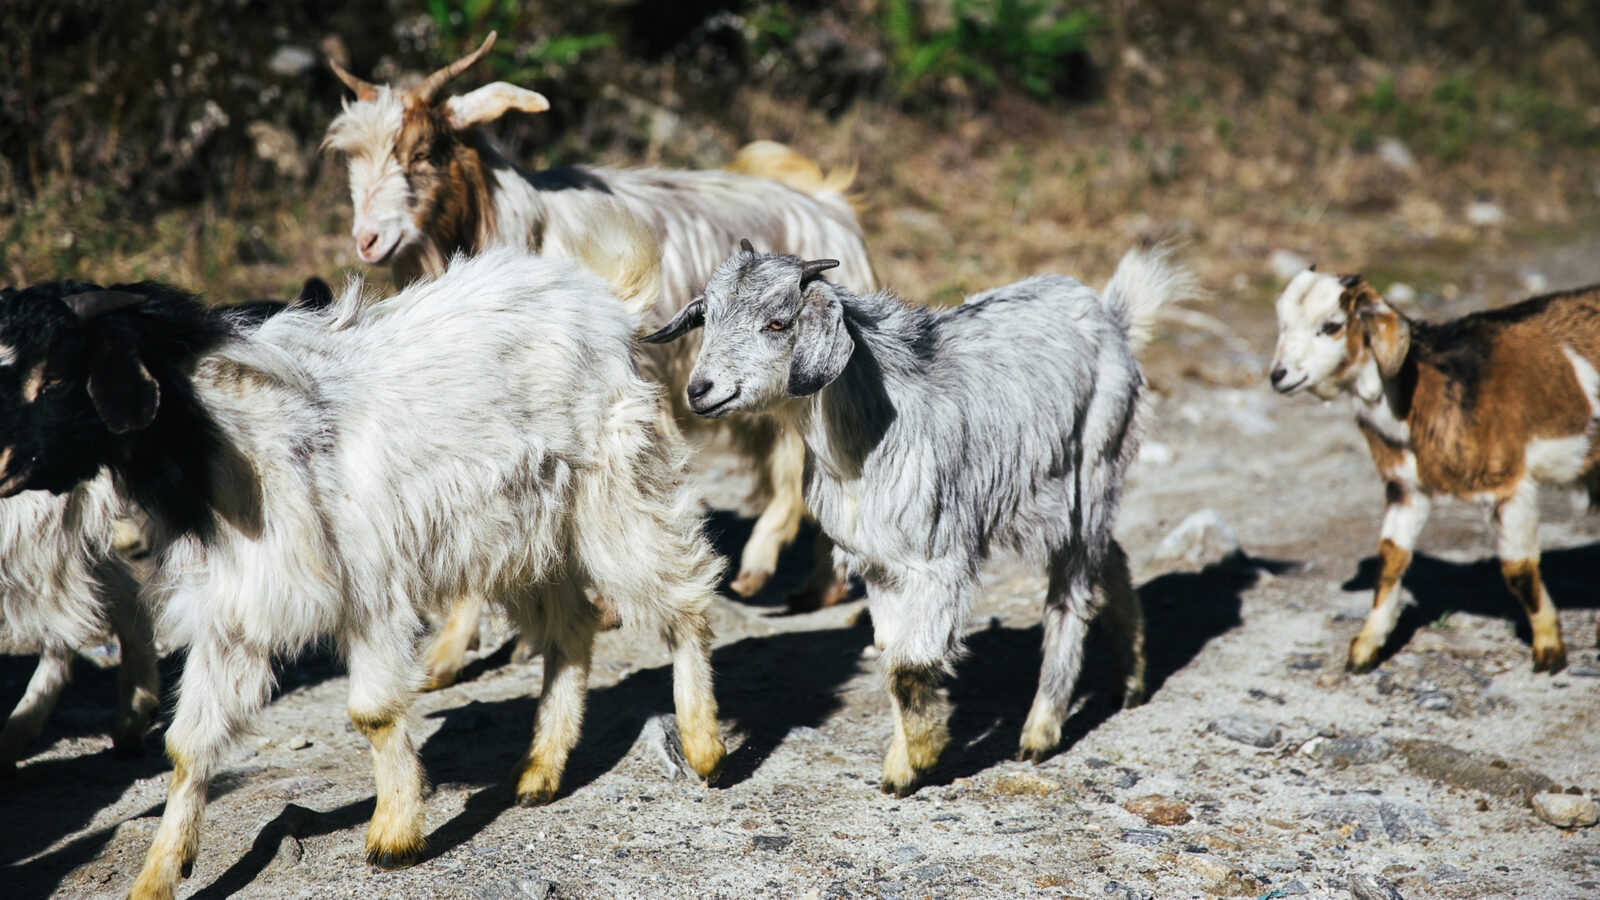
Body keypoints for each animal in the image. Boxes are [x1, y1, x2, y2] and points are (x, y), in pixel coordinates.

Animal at [0, 243, 726, 900]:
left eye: (56, 375)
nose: (3, 471)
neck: (238, 442)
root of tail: (602, 296)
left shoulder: (370, 586)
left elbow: (373, 713)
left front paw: (395, 835)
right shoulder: (235, 608)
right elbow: (187, 745)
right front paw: (156, 876)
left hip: (616, 493)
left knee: (684, 600)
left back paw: (703, 747)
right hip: (522, 537)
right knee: (571, 627)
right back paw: (540, 772)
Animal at [324, 34, 876, 686]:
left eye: (425, 151)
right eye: (352, 159)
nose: (368, 240)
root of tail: (828, 202)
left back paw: (763, 568)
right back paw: (818, 589)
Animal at [645, 241, 1191, 794]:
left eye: (778, 323)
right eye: (708, 317)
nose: (700, 390)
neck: (862, 443)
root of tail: (1112, 313)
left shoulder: (940, 559)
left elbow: (911, 666)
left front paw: (919, 759)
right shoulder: (879, 562)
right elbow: (891, 654)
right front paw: (902, 759)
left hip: (1089, 471)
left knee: (1072, 593)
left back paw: (1041, 732)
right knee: (1111, 557)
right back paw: (1131, 679)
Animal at [1271, 271, 1599, 673]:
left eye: (1331, 326)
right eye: (1282, 323)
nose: (1278, 376)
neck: (1426, 389)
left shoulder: (1508, 484)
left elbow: (1518, 569)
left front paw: (1549, 651)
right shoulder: (1407, 487)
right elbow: (1392, 557)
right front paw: (1364, 650)